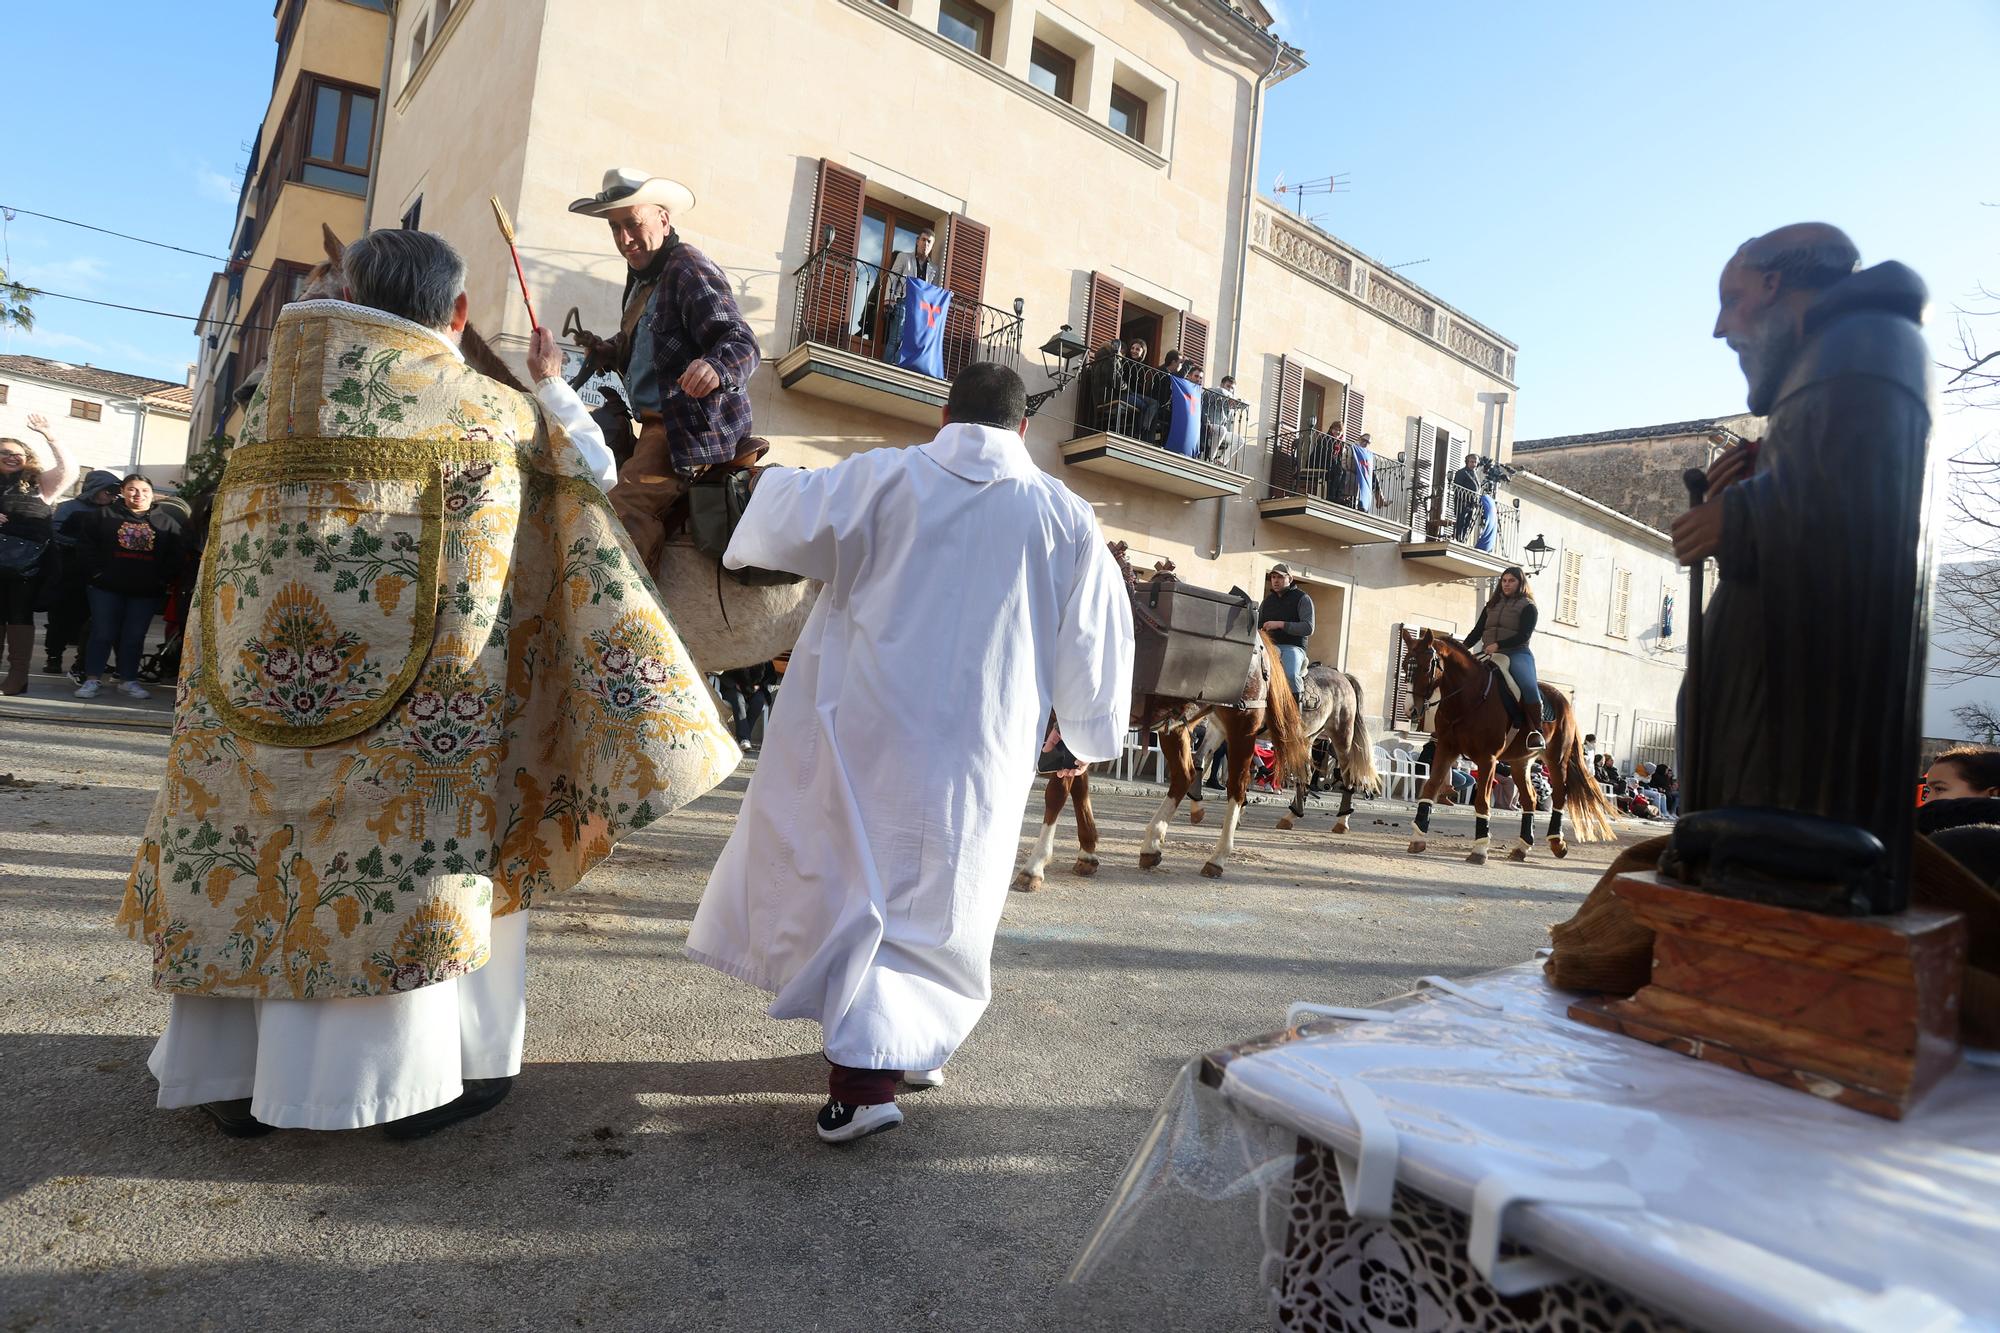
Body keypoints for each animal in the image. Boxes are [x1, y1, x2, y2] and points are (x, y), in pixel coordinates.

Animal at [1400, 624, 1616, 860]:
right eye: (1404, 665)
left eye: (1425, 667)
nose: (1411, 710)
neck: (1467, 698)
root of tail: (1563, 701)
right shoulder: (1446, 749)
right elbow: (1430, 787)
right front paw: (1418, 838)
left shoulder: (1488, 758)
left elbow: (1482, 801)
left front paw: (1480, 848)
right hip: (1521, 762)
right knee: (1530, 799)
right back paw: (1523, 846)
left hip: (1556, 759)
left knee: (1560, 795)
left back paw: (1557, 842)